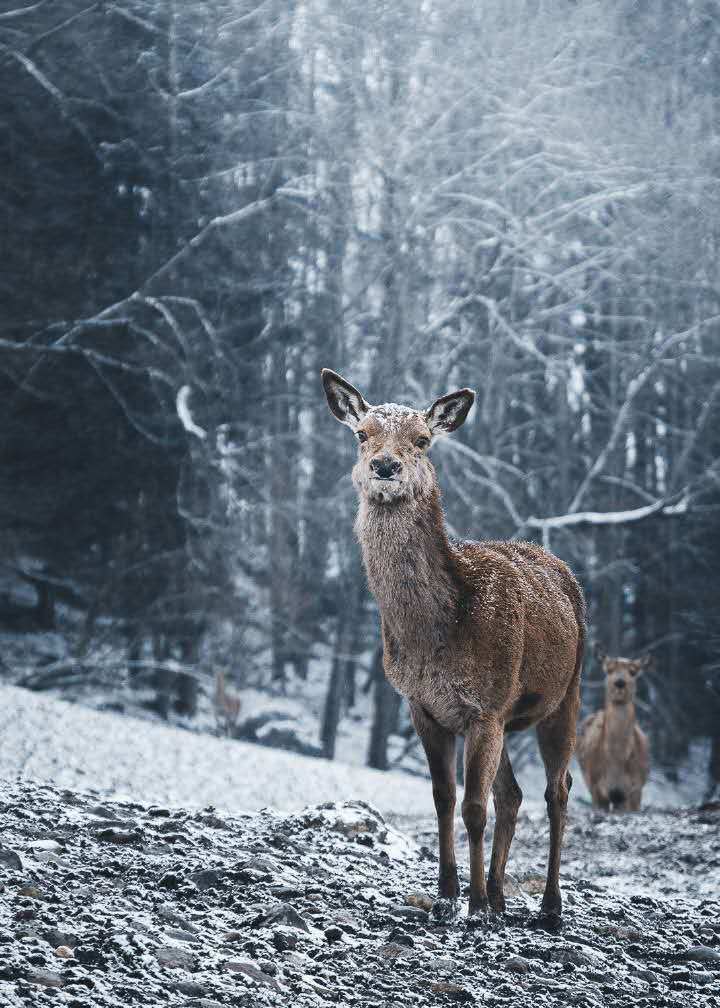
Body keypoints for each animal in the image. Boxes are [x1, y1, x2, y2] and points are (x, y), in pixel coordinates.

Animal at [320, 370, 584, 923]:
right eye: (362, 434)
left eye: (423, 439)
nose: (385, 465)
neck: (435, 634)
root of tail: (560, 566)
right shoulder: (422, 706)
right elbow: (444, 797)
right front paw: (447, 893)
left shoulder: (486, 706)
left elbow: (473, 807)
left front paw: (475, 903)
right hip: (511, 718)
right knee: (514, 793)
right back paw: (503, 896)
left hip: (566, 692)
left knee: (557, 789)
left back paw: (548, 905)